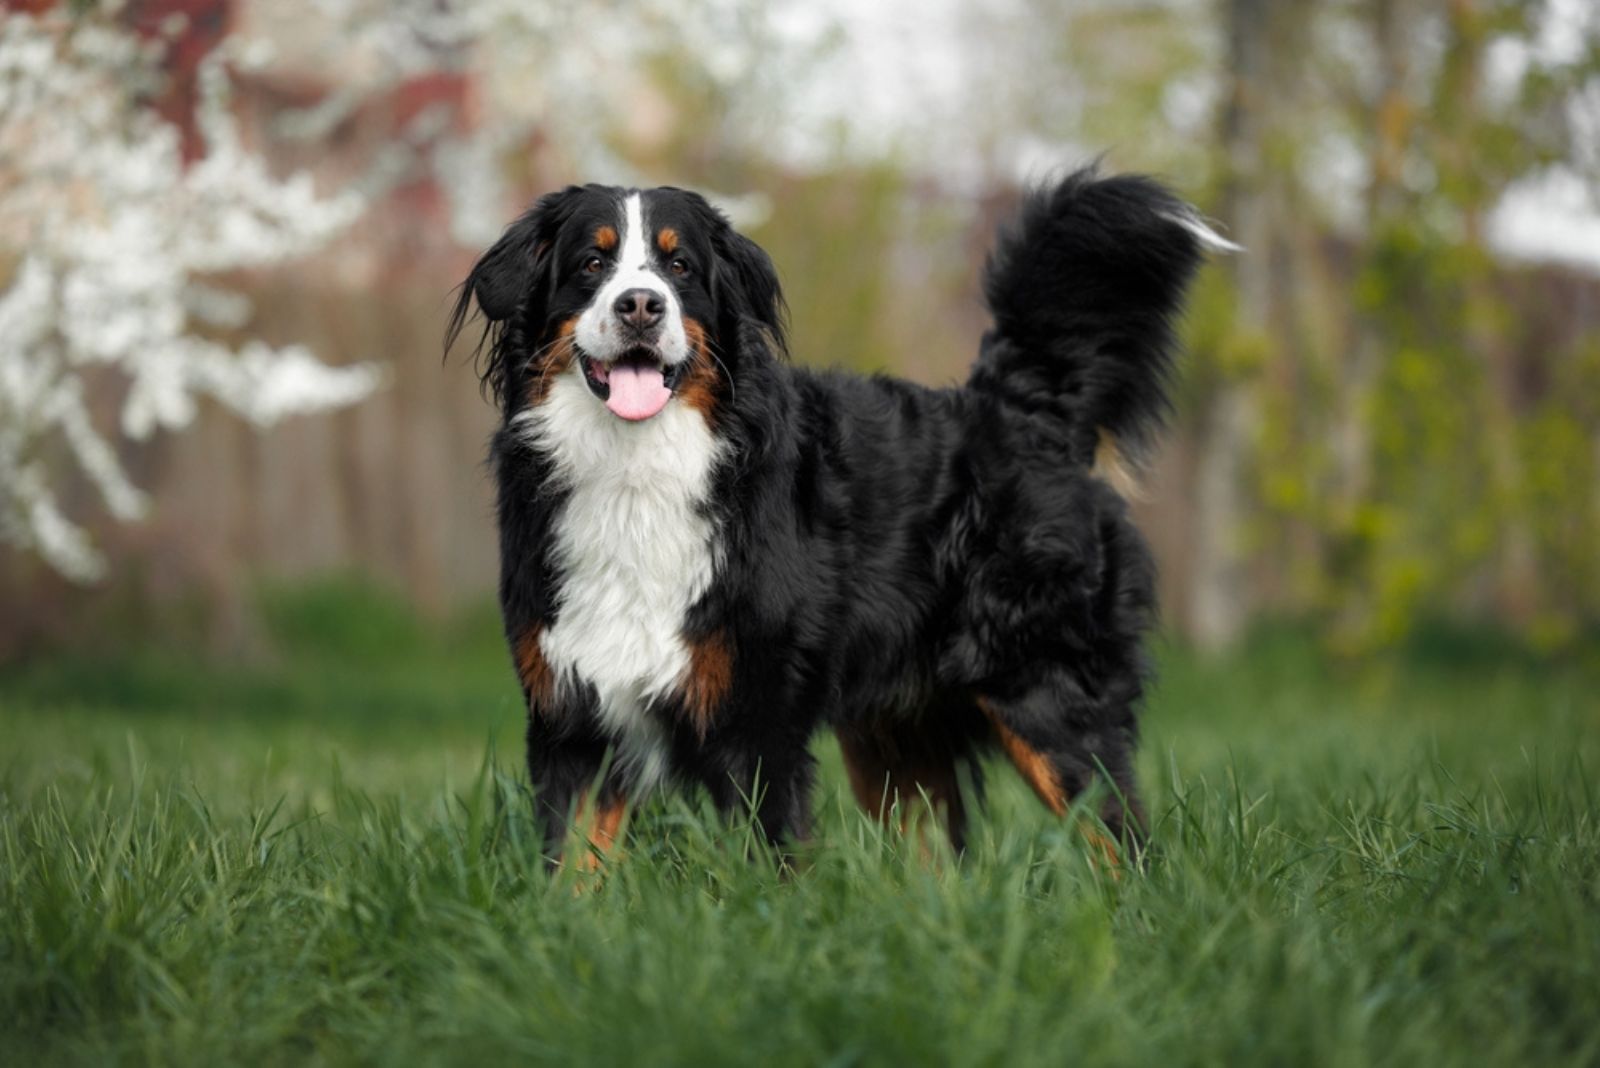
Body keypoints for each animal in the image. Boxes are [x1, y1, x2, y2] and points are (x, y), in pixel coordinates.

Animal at [451, 167, 1222, 869]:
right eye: (592, 262)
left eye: (679, 266)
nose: (641, 305)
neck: (636, 472)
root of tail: (1021, 411)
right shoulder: (574, 716)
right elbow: (566, 869)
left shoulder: (757, 725)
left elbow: (767, 873)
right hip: (897, 738)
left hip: (1046, 697)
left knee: (1122, 843)